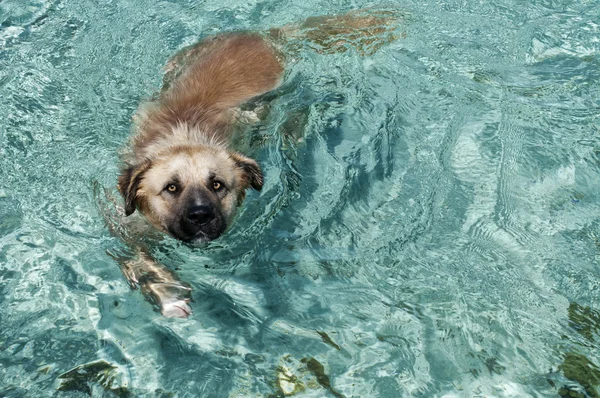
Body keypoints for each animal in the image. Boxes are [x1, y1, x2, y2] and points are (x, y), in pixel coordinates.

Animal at [112, 9, 404, 318]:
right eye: (171, 188)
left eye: (217, 185)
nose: (201, 215)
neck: (184, 138)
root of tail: (264, 34)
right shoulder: (122, 223)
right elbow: (140, 259)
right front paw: (167, 292)